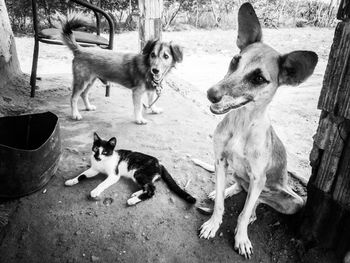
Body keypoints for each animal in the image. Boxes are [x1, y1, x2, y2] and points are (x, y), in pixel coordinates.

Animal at [64, 133, 196, 205]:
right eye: (96, 148)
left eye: (105, 152)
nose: (97, 157)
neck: (103, 162)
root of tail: (159, 163)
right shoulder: (94, 169)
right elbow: (82, 175)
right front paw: (71, 180)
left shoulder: (114, 175)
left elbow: (102, 183)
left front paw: (95, 191)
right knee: (148, 186)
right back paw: (136, 194)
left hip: (139, 173)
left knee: (152, 189)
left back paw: (133, 200)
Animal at [197, 2, 318, 260]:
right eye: (235, 61)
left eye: (259, 78)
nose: (211, 94)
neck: (241, 124)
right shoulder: (220, 161)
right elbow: (220, 205)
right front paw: (213, 223)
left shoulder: (258, 177)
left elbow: (243, 214)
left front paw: (241, 237)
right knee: (239, 187)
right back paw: (227, 190)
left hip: (291, 201)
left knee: (258, 200)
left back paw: (252, 212)